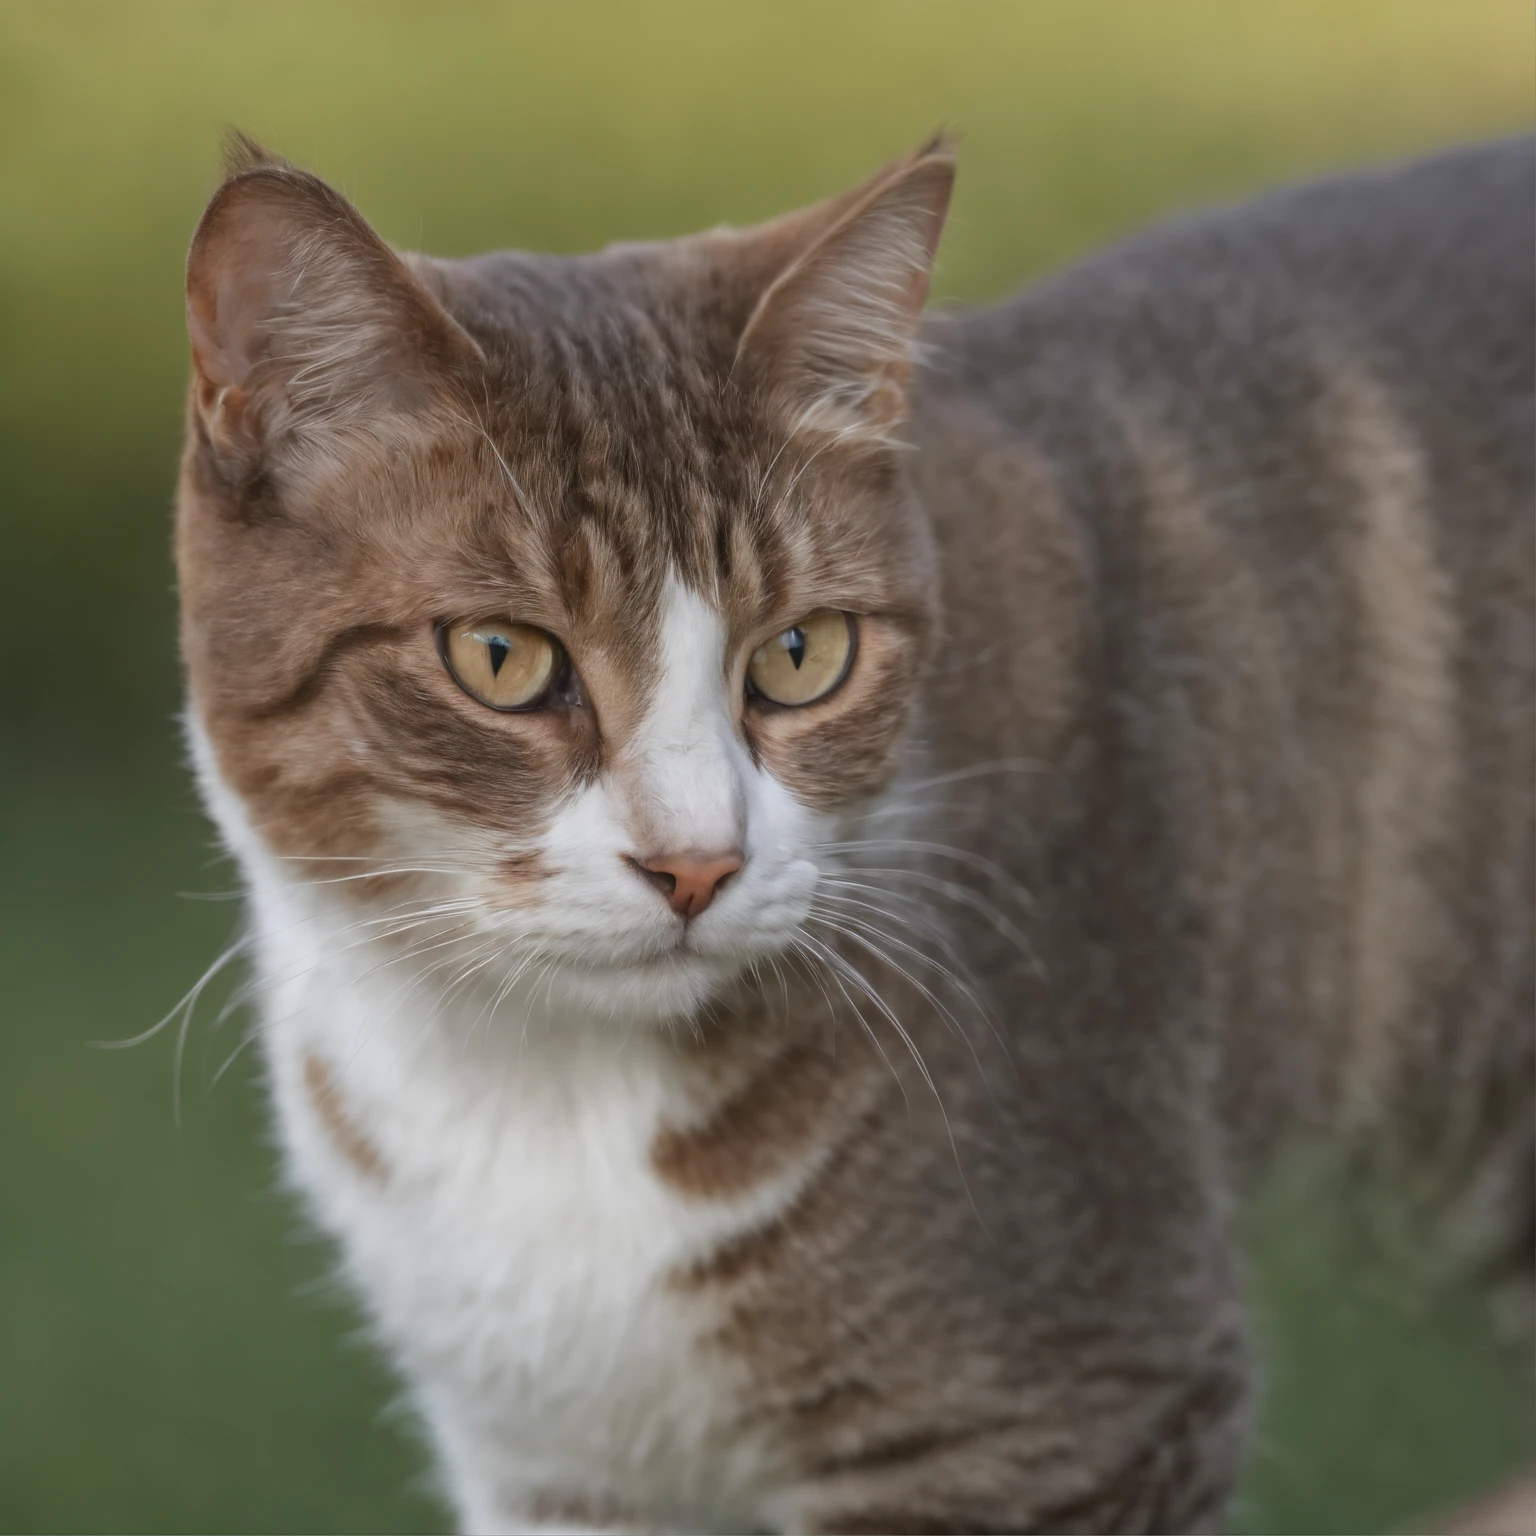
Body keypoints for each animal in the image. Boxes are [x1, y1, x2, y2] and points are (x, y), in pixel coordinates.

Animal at [174, 135, 1529, 1536]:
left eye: (802, 653)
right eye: (500, 657)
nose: (697, 862)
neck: (541, 1085)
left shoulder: (1059, 1397)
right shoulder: (558, 1463)